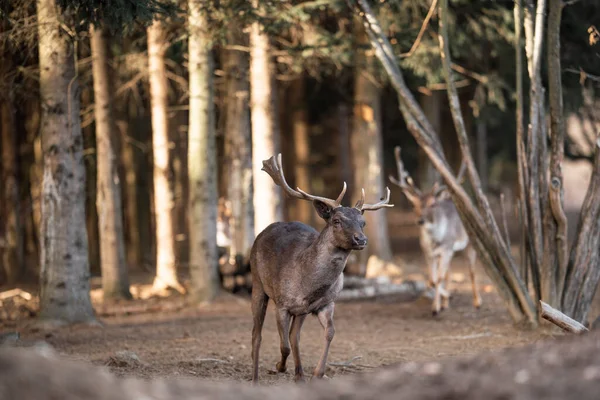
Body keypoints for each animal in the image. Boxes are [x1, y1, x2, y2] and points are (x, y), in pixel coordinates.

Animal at [250, 154, 394, 384]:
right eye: (336, 220)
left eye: (362, 222)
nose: (361, 239)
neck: (308, 284)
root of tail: (265, 230)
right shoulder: (282, 304)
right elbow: (284, 345)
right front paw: (279, 367)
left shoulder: (326, 303)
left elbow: (329, 333)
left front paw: (317, 372)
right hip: (257, 282)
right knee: (257, 334)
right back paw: (256, 377)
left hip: (301, 311)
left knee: (294, 335)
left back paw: (299, 374)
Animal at [390, 145, 482, 318]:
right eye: (414, 205)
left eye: (433, 204)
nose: (420, 220)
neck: (435, 241)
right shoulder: (428, 252)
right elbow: (432, 280)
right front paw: (442, 302)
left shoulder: (447, 247)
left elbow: (438, 278)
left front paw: (435, 308)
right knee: (449, 272)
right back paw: (447, 303)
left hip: (469, 244)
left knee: (472, 271)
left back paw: (477, 302)